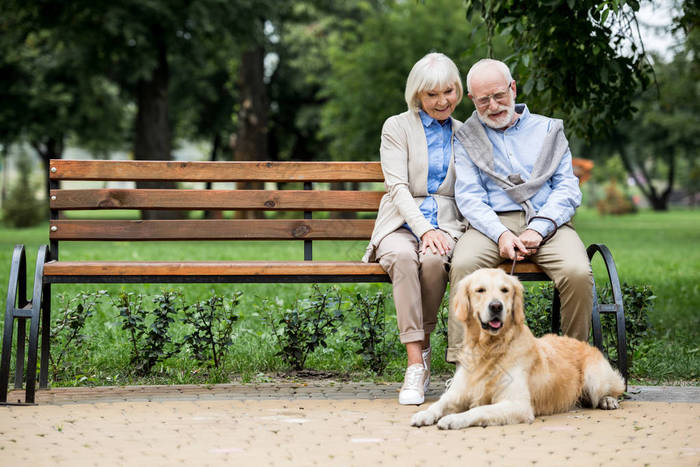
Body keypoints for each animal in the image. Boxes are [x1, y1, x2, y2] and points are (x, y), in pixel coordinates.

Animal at [410, 268, 624, 430]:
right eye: (480, 290)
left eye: (505, 290)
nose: (496, 306)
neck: (489, 348)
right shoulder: (458, 392)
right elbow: (439, 403)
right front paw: (424, 413)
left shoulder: (518, 404)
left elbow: (479, 409)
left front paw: (454, 419)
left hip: (595, 378)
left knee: (616, 389)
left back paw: (608, 400)